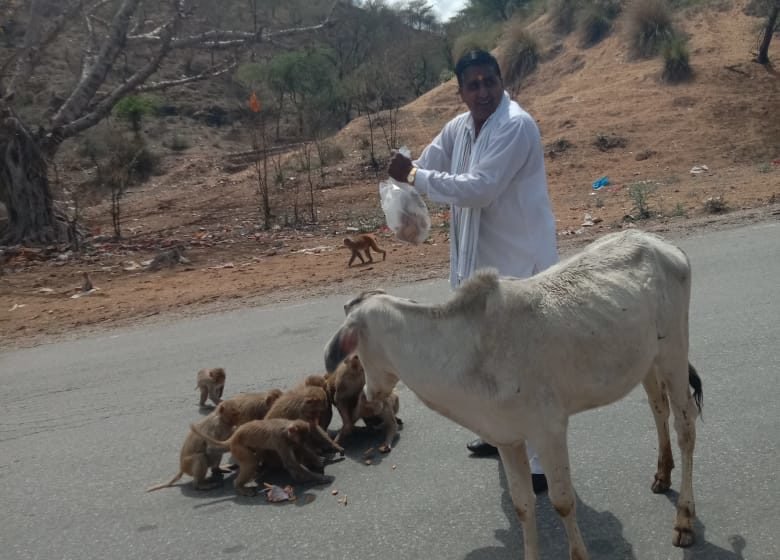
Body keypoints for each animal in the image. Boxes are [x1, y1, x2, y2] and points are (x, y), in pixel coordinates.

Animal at [326, 229, 704, 560]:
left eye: (356, 350)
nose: (371, 393)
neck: (462, 353)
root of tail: (658, 243)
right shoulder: (507, 439)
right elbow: (523, 506)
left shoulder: (549, 431)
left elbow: (562, 501)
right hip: (647, 361)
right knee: (658, 408)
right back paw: (662, 474)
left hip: (674, 352)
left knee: (685, 426)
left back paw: (684, 519)